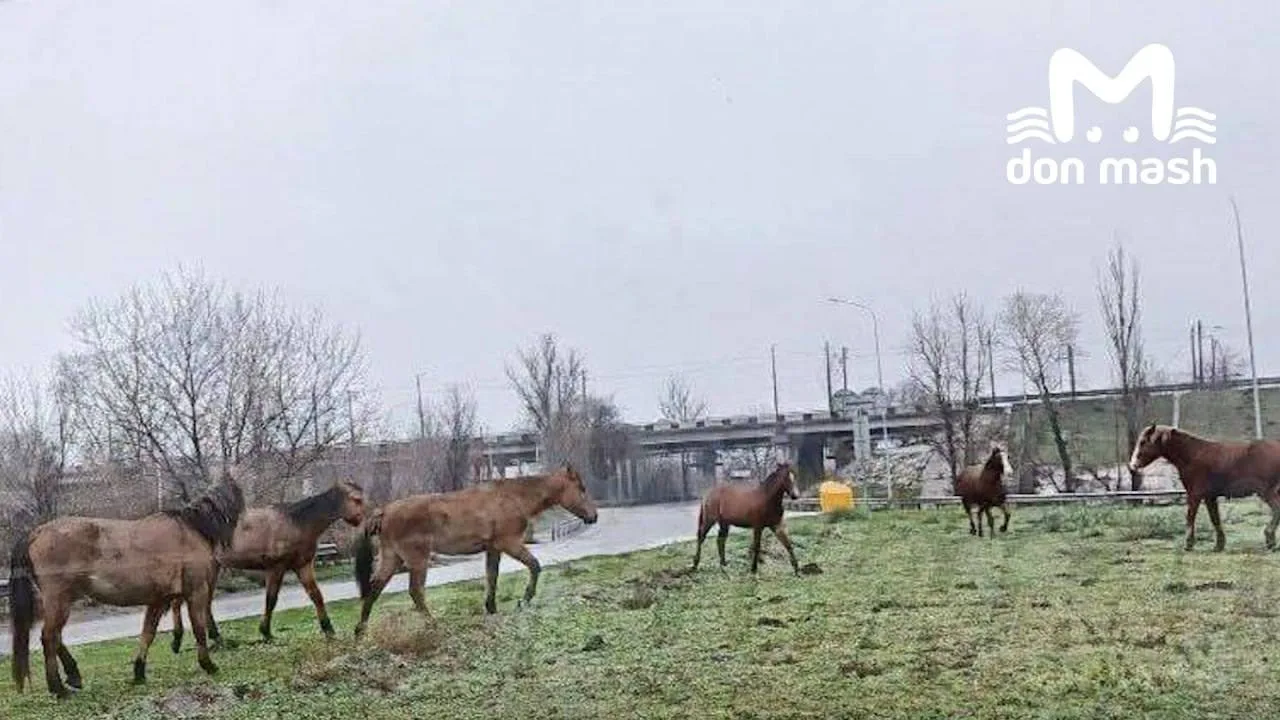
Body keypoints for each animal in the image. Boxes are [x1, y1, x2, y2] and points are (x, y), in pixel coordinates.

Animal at [9, 472, 244, 698]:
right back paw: (58, 688)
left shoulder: (158, 599)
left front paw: (139, 672)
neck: (190, 530)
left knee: (55, 638)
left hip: (61, 600)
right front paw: (208, 665)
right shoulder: (196, 592)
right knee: (49, 637)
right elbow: (199, 629)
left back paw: (73, 676)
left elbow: (148, 634)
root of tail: (36, 532)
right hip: (59, 600)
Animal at [168, 480, 366, 651]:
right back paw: (178, 640)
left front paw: (329, 630)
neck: (297, 523)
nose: (363, 520)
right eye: (356, 499)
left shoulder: (303, 566)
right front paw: (266, 632)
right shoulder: (275, 567)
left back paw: (216, 637)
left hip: (213, 568)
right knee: (180, 601)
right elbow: (271, 599)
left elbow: (316, 596)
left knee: (204, 602)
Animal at [352, 464, 598, 636]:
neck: (513, 497)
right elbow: (534, 566)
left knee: (374, 589)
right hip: (417, 559)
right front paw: (524, 600)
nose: (593, 516)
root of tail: (384, 511)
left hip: (391, 558)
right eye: (582, 489)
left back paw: (360, 631)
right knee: (415, 592)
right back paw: (433, 624)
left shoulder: (494, 548)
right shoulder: (509, 543)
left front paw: (491, 608)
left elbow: (492, 577)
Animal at [1129, 423, 1280, 551]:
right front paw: (1219, 545)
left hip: (1267, 492)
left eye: (1143, 442)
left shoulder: (1194, 495)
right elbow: (1215, 519)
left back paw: (1269, 538)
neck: (1192, 454)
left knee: (1277, 509)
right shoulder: (1209, 497)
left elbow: (1190, 517)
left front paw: (1188, 544)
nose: (1133, 465)